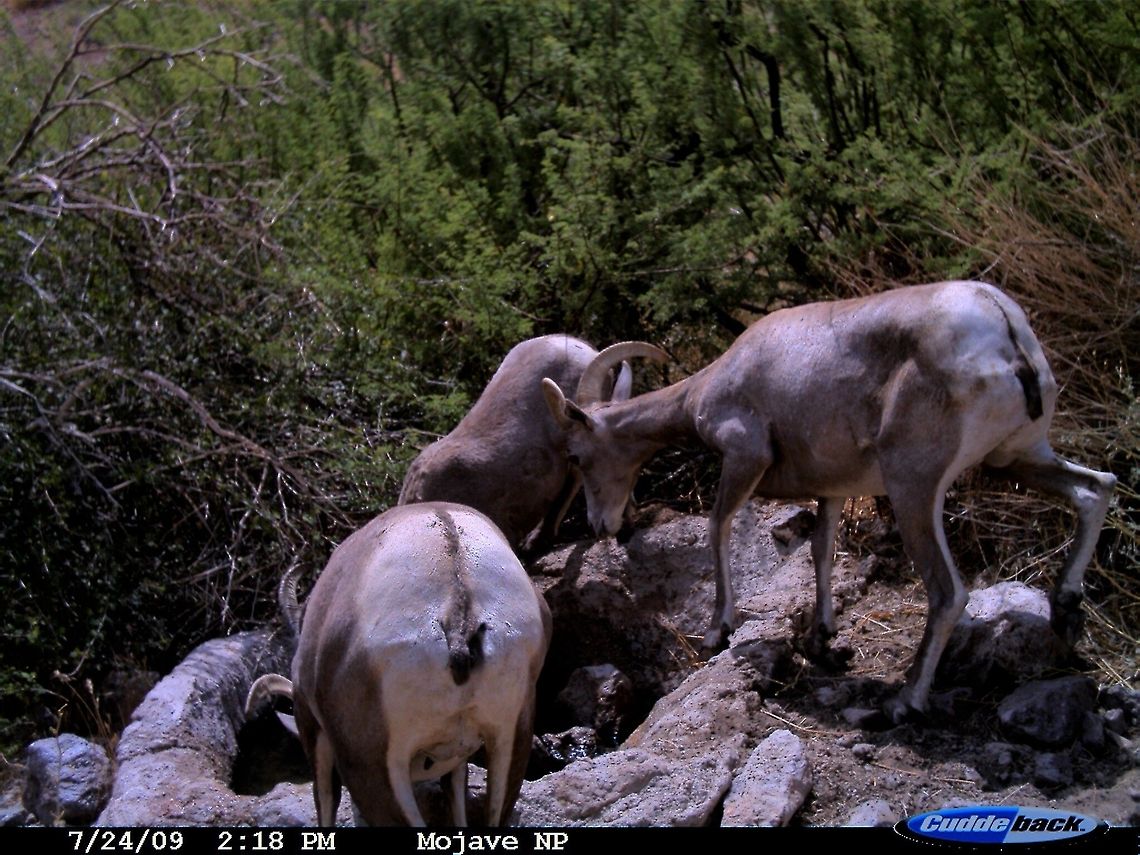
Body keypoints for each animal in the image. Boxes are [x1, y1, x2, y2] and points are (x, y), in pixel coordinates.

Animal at [541, 280, 1116, 724]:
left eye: (575, 455)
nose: (599, 525)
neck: (712, 382)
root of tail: (1002, 324)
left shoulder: (744, 455)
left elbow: (718, 526)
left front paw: (716, 630)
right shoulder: (834, 488)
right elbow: (821, 551)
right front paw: (822, 638)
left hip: (915, 485)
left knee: (949, 591)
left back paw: (904, 702)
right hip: (1017, 455)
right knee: (1096, 487)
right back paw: (1066, 611)